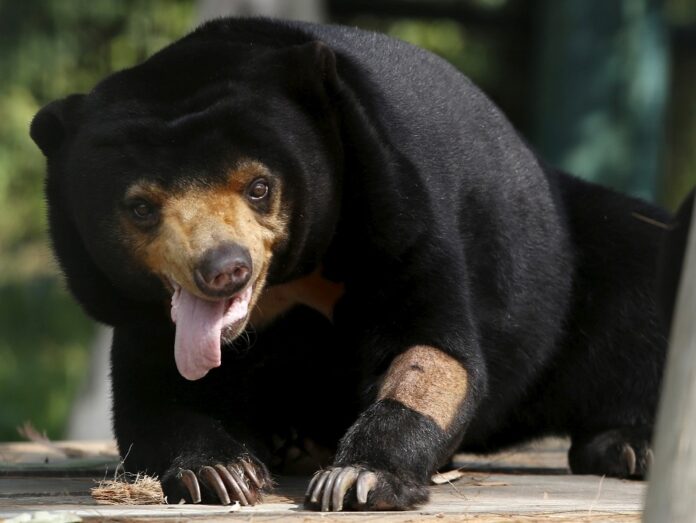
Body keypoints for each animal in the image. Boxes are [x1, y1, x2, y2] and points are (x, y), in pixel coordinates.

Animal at [30, 17, 669, 511]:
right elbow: (155, 394)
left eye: (259, 187)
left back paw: (629, 443)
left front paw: (357, 478)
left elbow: (432, 351)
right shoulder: (138, 311)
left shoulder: (396, 208)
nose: (224, 269)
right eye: (141, 207)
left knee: (643, 282)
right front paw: (218, 471)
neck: (285, 286)